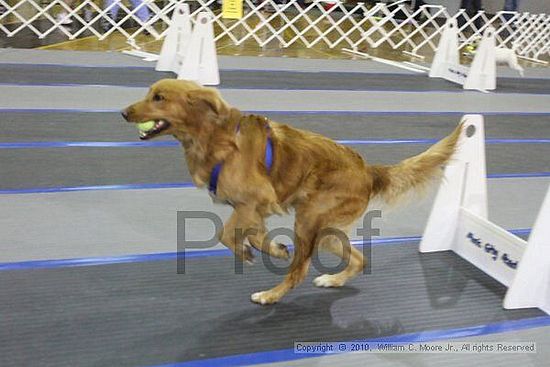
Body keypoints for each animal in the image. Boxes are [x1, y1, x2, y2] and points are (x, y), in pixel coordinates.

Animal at [123, 79, 464, 306]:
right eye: (149, 94)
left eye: (159, 97)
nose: (124, 112)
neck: (214, 137)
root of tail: (367, 170)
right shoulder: (252, 208)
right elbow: (253, 235)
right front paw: (270, 249)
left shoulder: (254, 200)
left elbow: (226, 233)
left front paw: (253, 253)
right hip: (326, 232)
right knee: (359, 259)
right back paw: (332, 279)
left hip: (308, 221)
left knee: (299, 271)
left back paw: (270, 295)